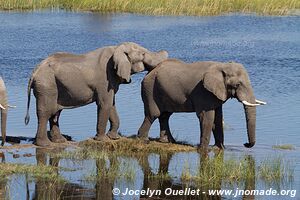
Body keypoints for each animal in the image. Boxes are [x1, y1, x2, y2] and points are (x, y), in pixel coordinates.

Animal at [24, 41, 168, 146]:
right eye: (143, 54)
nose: (165, 51)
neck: (117, 48)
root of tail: (34, 72)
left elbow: (111, 104)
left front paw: (113, 138)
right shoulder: (105, 79)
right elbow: (105, 104)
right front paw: (102, 140)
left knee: (55, 113)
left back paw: (59, 141)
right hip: (46, 85)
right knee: (45, 112)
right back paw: (44, 144)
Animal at [137, 59, 266, 150]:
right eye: (237, 85)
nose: (246, 144)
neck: (222, 65)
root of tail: (149, 72)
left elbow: (218, 118)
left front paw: (220, 148)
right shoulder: (203, 91)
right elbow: (207, 117)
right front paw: (203, 149)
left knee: (165, 115)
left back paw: (168, 141)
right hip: (150, 89)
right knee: (153, 114)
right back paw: (144, 140)